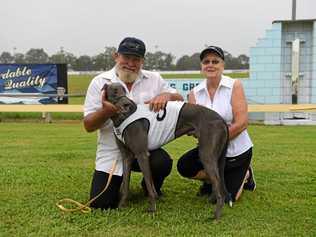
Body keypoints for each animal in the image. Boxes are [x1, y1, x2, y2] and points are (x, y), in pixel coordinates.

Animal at [102, 82, 231, 219]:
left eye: (124, 91)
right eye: (115, 91)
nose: (127, 104)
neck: (122, 117)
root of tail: (221, 119)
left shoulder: (142, 154)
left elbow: (150, 186)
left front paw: (152, 209)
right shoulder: (127, 157)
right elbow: (125, 185)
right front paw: (121, 206)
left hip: (206, 156)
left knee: (219, 190)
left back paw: (216, 216)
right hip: (218, 158)